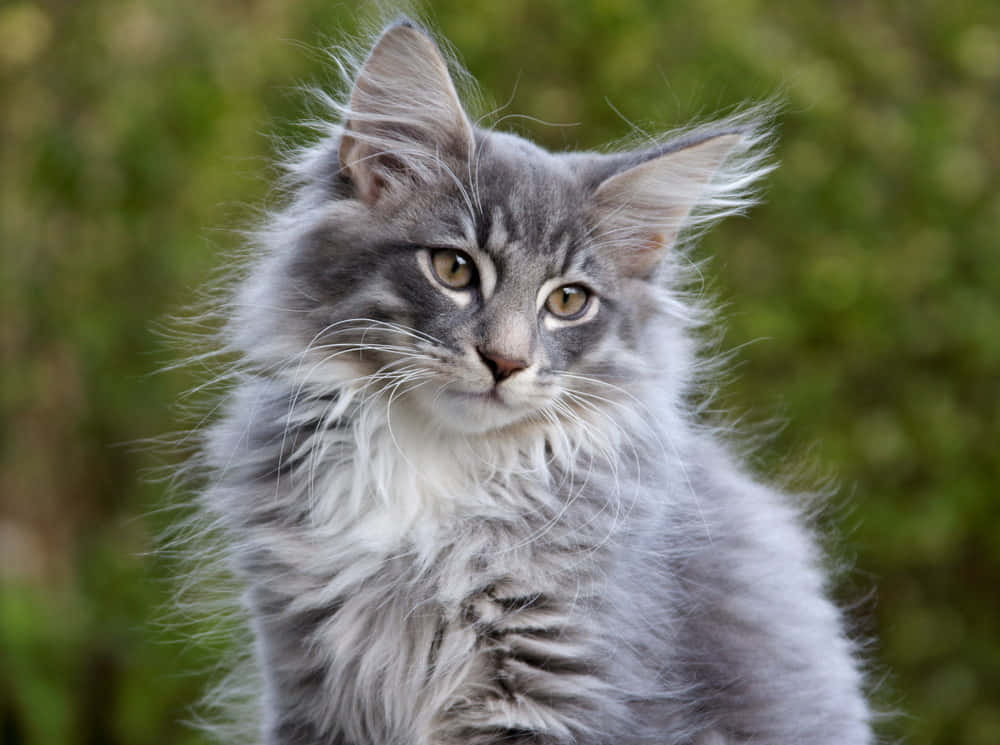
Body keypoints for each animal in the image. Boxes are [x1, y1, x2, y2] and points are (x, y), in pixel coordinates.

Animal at [189, 16, 876, 744]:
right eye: (454, 269)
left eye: (568, 301)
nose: (506, 361)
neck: (436, 466)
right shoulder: (309, 674)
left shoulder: (559, 678)